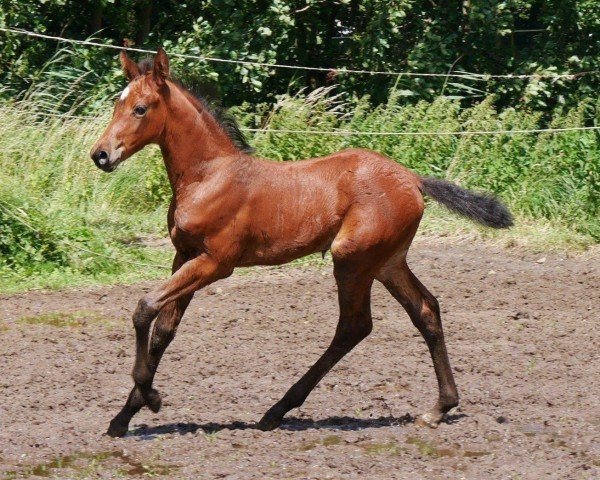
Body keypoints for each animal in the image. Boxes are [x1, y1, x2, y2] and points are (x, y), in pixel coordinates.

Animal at [91, 49, 512, 438]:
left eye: (140, 108)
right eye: (117, 104)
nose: (101, 155)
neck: (208, 176)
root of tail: (413, 179)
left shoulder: (214, 263)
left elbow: (144, 308)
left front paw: (152, 398)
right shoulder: (184, 256)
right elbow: (164, 330)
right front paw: (123, 417)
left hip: (352, 258)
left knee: (354, 326)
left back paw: (277, 411)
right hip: (388, 262)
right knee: (425, 310)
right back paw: (439, 407)